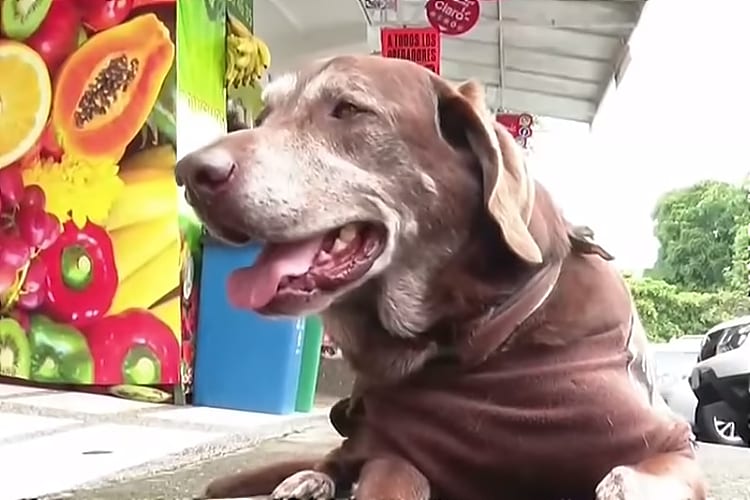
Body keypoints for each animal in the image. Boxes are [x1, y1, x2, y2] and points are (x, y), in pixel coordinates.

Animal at [179, 55, 708, 500]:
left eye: (348, 109)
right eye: (265, 115)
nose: (188, 171)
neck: (473, 338)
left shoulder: (671, 444)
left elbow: (627, 477)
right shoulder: (394, 453)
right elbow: (388, 474)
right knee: (336, 457)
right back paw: (307, 480)